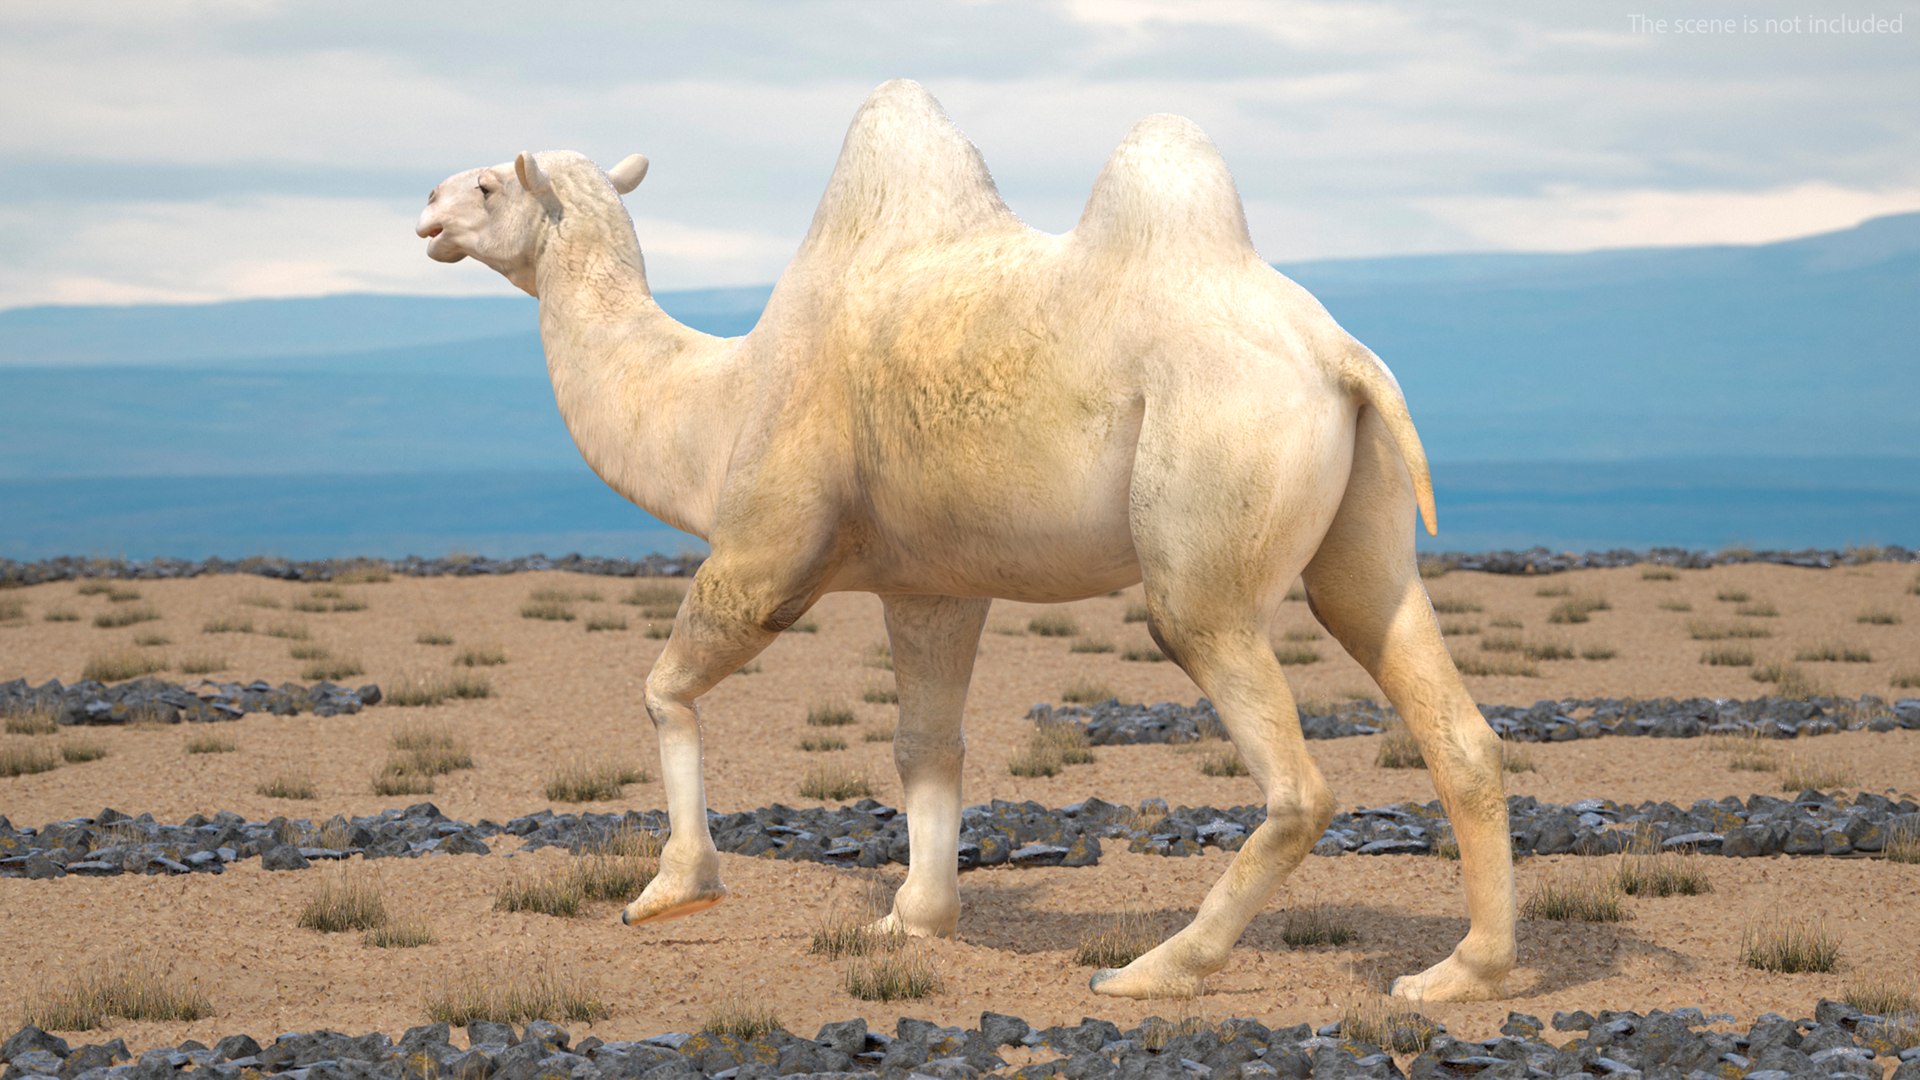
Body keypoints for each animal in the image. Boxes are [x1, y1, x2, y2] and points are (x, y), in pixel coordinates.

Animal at [415, 79, 1517, 1003]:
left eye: (486, 182)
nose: (424, 206)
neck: (714, 404)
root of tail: (1342, 359)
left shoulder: (768, 551)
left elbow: (663, 688)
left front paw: (674, 888)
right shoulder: (932, 586)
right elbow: (925, 743)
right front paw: (916, 917)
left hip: (1206, 530)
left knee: (1286, 764)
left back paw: (1156, 970)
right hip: (1364, 534)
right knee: (1442, 708)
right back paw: (1459, 974)